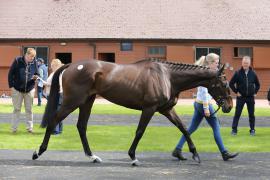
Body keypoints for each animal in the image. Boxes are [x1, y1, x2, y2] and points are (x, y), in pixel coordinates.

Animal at [32, 58, 233, 165]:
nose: (229, 106)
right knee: (54, 120)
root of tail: (72, 65)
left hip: (87, 101)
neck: (167, 76)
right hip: (73, 101)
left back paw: (93, 156)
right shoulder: (149, 108)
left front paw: (195, 154)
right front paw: (133, 157)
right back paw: (38, 152)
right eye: (224, 83)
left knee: (81, 126)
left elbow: (183, 128)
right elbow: (140, 131)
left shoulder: (166, 109)